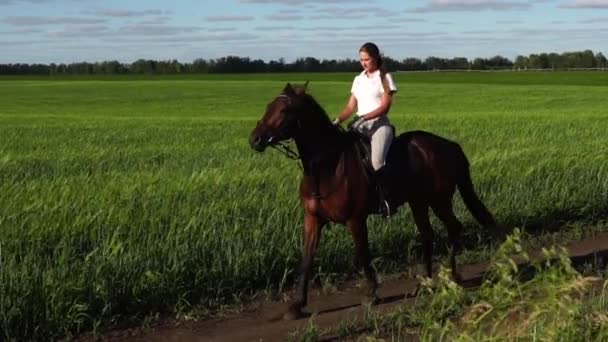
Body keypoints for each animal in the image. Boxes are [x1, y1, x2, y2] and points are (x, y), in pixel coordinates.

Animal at [248, 83, 498, 320]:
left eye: (283, 110)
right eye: (269, 106)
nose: (255, 139)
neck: (327, 166)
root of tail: (449, 145)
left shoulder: (355, 220)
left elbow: (363, 253)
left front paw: (371, 294)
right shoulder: (312, 219)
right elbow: (307, 260)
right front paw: (297, 305)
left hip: (439, 200)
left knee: (454, 227)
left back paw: (452, 275)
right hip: (418, 202)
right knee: (428, 234)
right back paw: (425, 282)